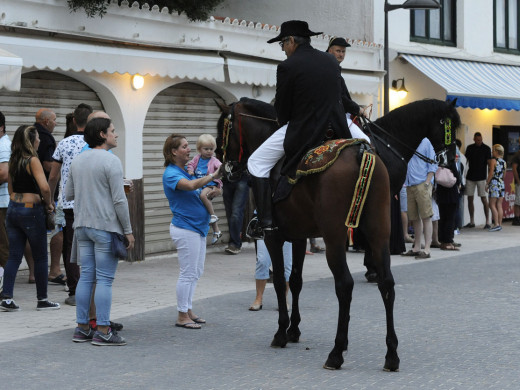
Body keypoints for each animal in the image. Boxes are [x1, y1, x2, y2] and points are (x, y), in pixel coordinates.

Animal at [215, 96, 460, 368]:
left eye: (221, 129)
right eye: (448, 126)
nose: (224, 167)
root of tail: (362, 154)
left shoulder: (274, 236)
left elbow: (280, 281)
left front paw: (281, 333)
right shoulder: (299, 235)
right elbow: (296, 280)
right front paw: (294, 330)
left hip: (334, 237)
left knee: (344, 284)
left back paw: (336, 352)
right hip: (377, 229)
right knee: (387, 283)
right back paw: (391, 354)